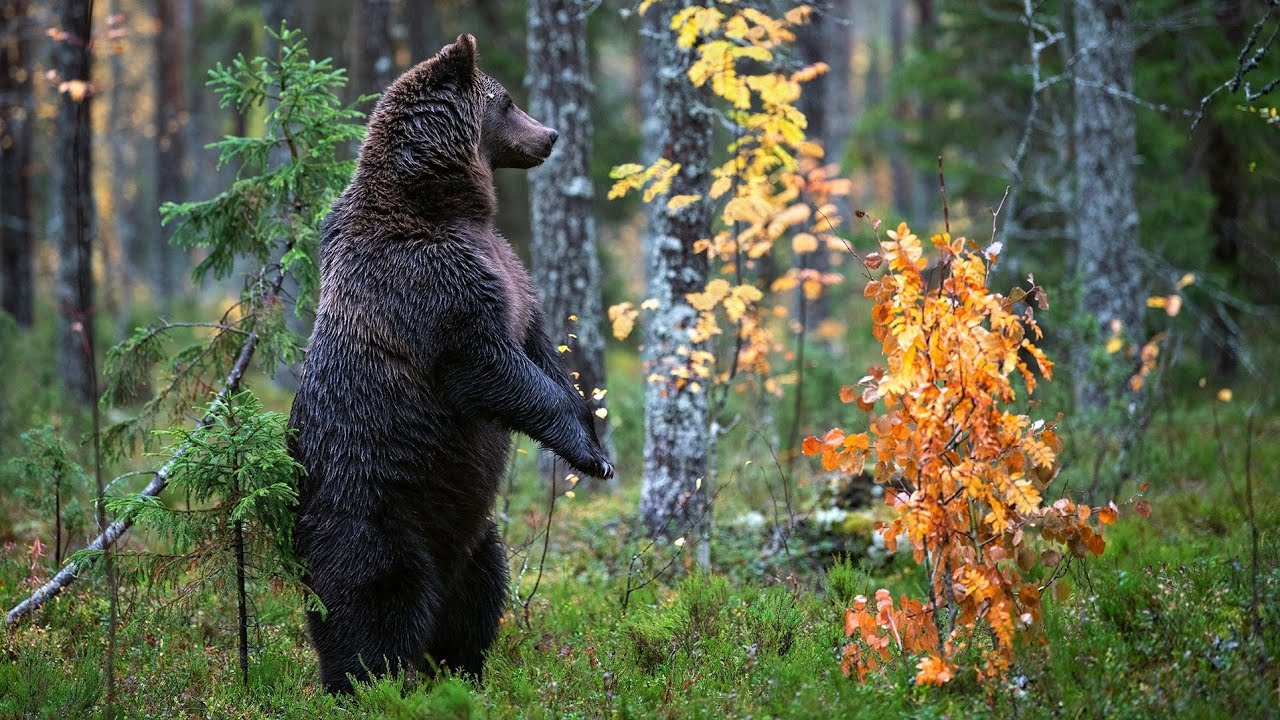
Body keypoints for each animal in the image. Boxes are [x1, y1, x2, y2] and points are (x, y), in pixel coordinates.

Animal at [288, 35, 611, 696]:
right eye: (507, 101)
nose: (551, 134)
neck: (447, 206)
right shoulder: (431, 285)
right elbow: (487, 365)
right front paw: (586, 451)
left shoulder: (510, 272)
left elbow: (538, 350)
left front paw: (594, 434)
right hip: (372, 511)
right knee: (374, 602)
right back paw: (365, 684)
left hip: (474, 531)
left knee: (479, 596)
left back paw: (461, 671)